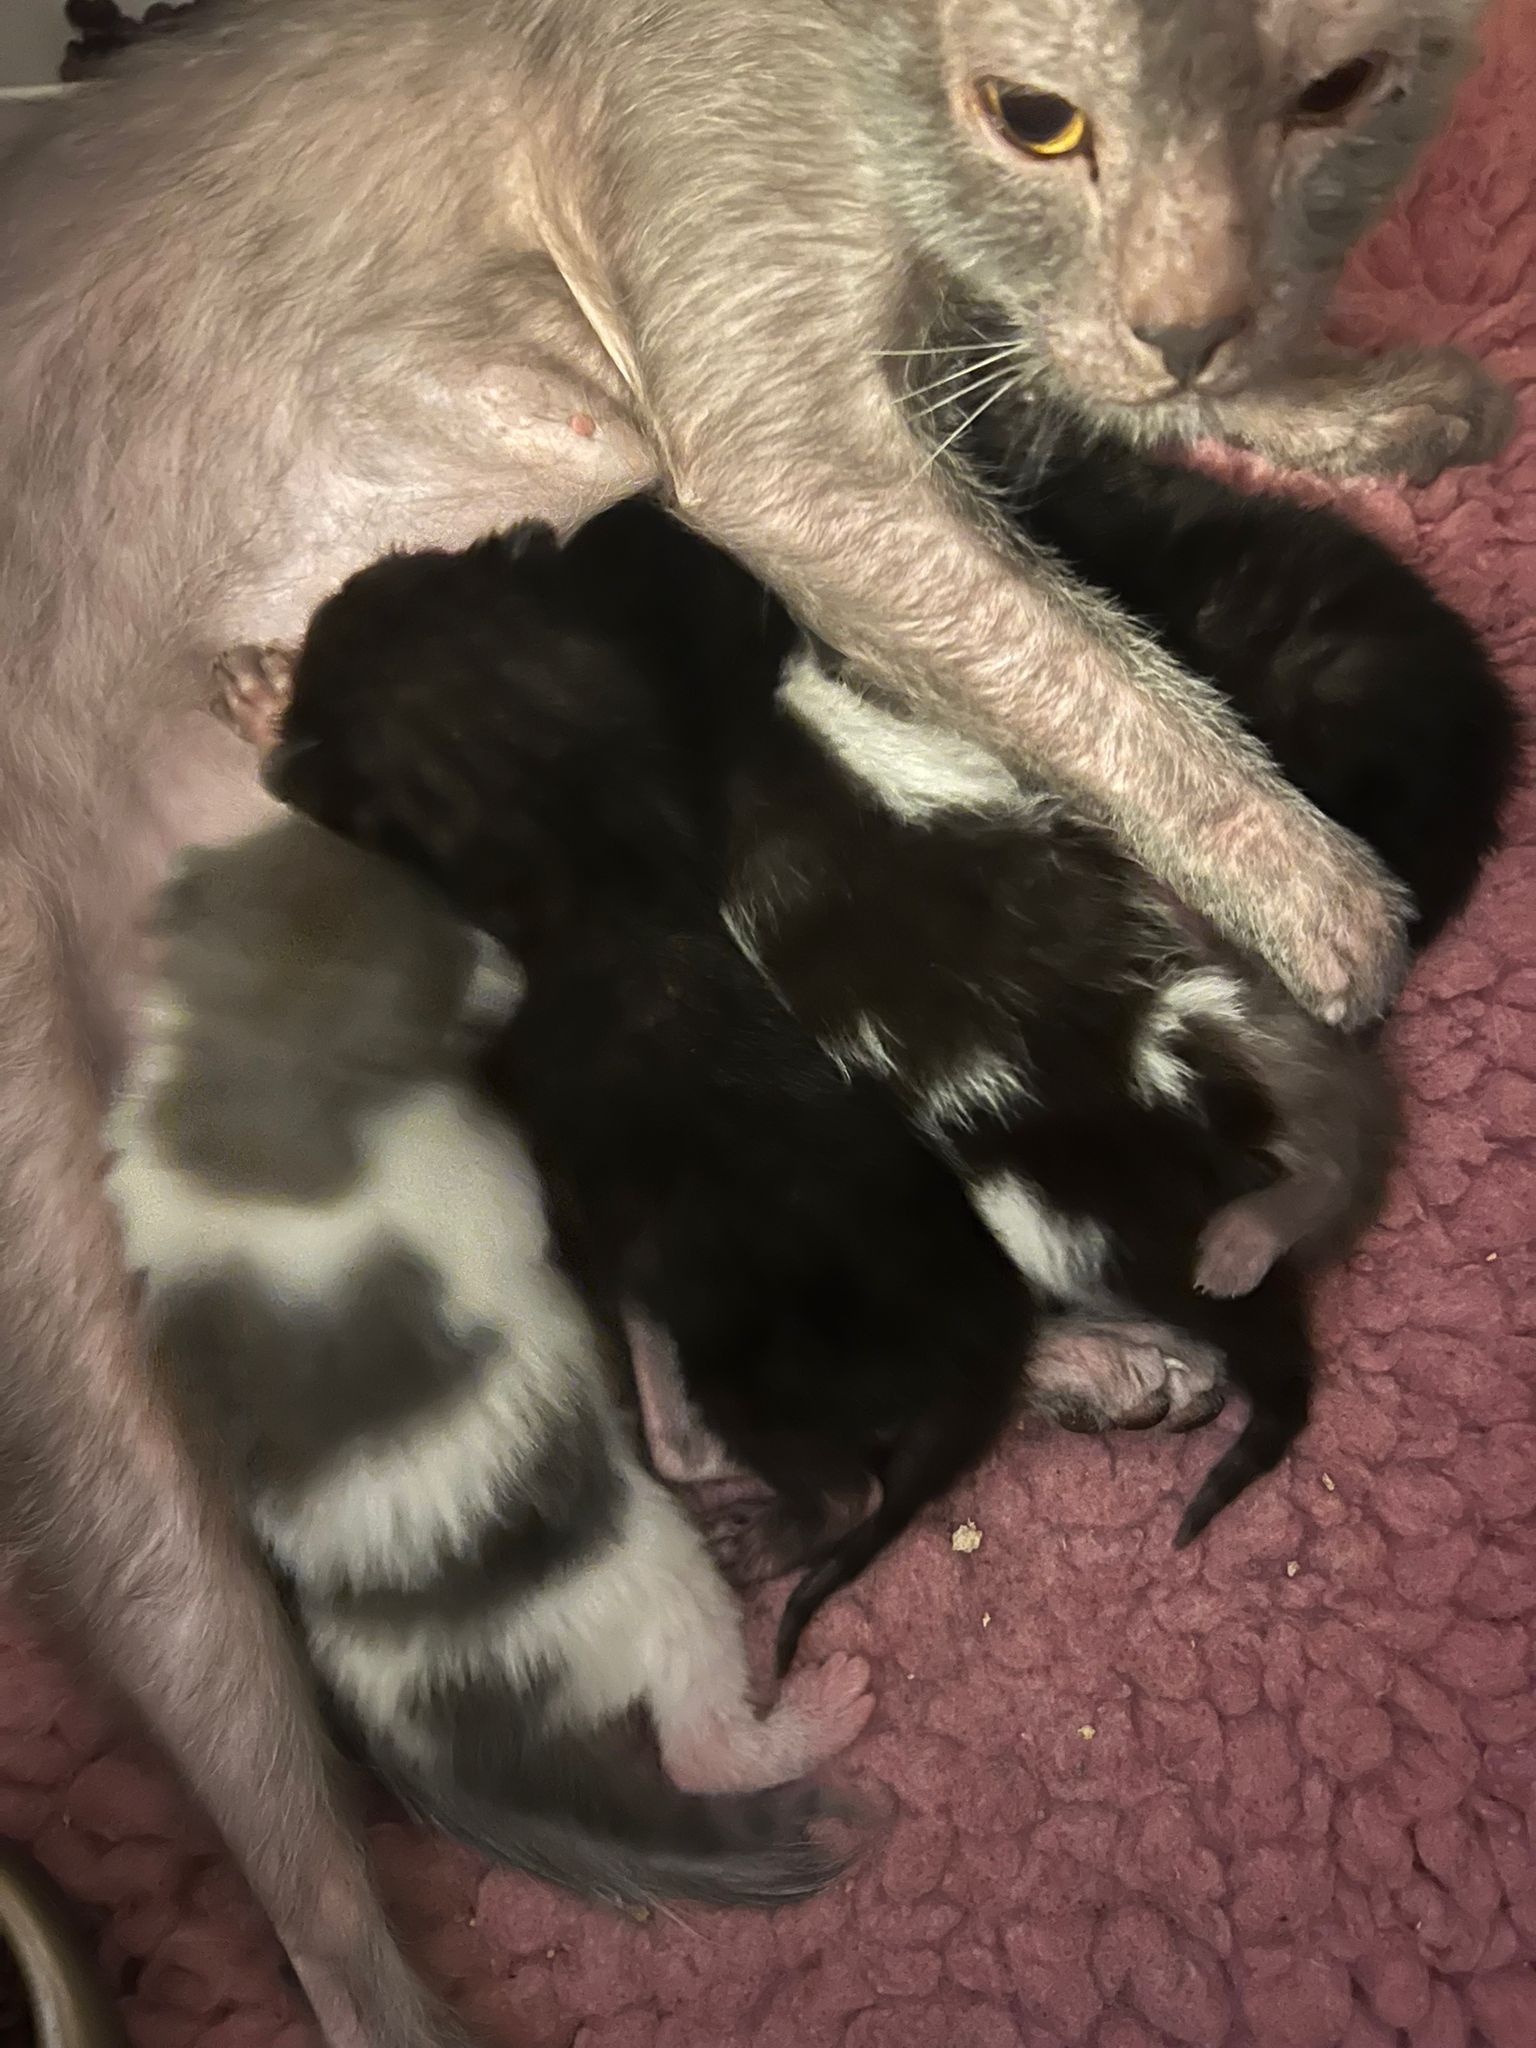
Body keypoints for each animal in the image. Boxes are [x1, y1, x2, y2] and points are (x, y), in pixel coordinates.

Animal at [105, 811, 876, 1900]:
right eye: (443, 915)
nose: (508, 956)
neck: (252, 1079)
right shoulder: (471, 1169)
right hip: (656, 1585)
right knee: (697, 1741)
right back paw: (810, 1712)